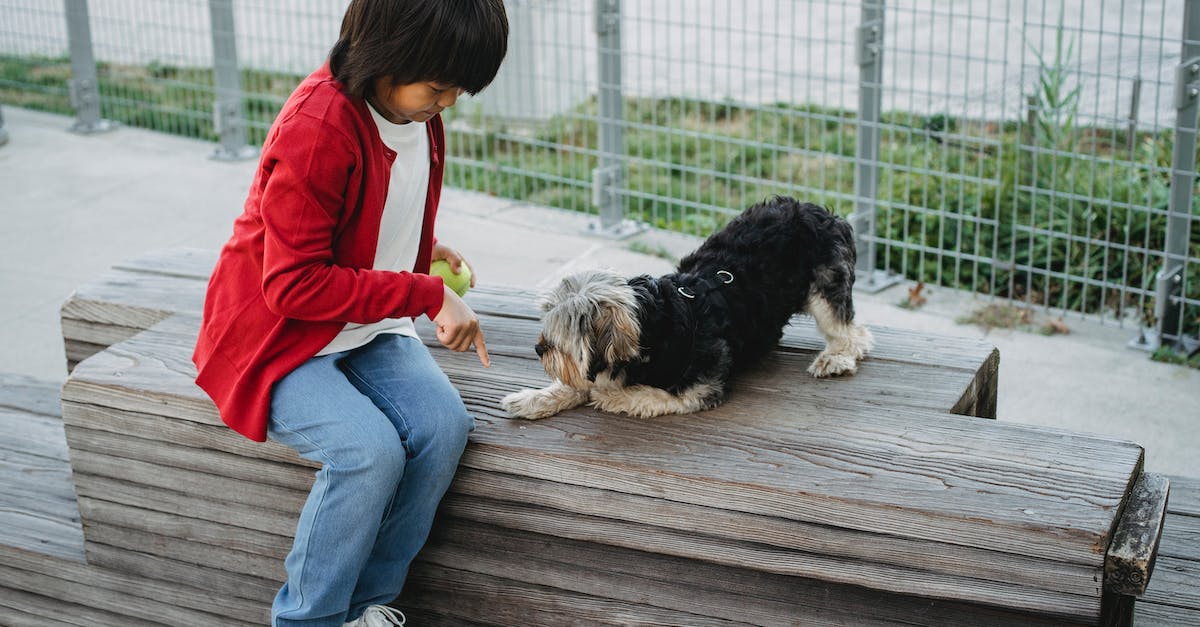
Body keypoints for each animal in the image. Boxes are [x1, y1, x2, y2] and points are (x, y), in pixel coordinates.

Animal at [501, 196, 878, 420]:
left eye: (562, 338)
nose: (539, 348)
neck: (653, 328)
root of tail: (820, 211)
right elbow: (577, 383)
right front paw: (535, 398)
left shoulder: (700, 387)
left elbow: (648, 394)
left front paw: (614, 396)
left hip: (826, 286)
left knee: (853, 333)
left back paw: (836, 358)